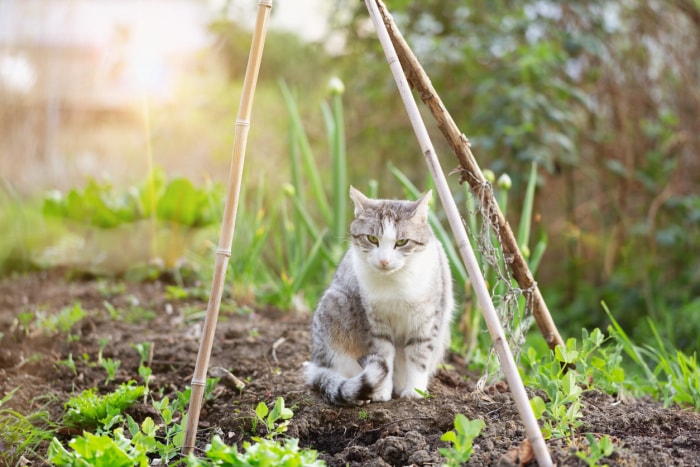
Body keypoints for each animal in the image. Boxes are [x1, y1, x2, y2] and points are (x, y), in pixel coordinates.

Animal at [306, 186, 454, 406]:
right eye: (372, 239)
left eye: (402, 242)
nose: (384, 261)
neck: (394, 283)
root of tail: (316, 362)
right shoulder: (376, 323)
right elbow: (383, 356)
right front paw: (381, 392)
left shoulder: (426, 320)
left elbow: (418, 356)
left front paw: (415, 391)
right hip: (332, 309)